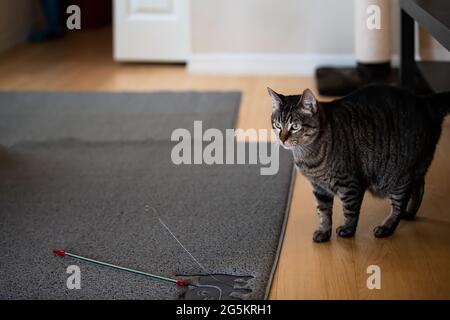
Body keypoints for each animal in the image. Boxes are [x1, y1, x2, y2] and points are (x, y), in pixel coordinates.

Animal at [268, 85, 448, 242]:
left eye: (295, 126)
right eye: (277, 125)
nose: (282, 138)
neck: (307, 156)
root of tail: (425, 101)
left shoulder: (350, 183)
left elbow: (350, 210)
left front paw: (348, 230)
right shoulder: (319, 188)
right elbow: (323, 212)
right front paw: (324, 232)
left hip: (398, 176)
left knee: (399, 204)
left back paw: (387, 227)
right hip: (413, 169)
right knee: (419, 187)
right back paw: (410, 213)